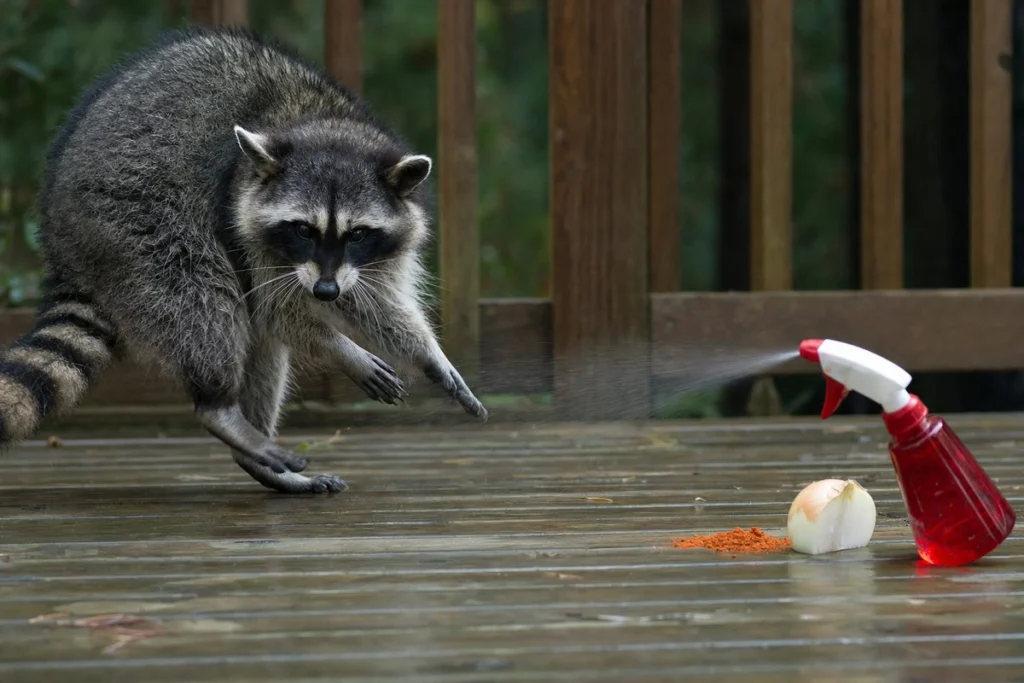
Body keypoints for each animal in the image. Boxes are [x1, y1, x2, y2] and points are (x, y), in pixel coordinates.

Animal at [0, 27, 487, 494]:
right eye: (303, 229)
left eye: (358, 233)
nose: (324, 290)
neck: (325, 125)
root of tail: (64, 245)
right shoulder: (240, 215)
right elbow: (276, 308)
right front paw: (342, 348)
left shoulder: (369, 257)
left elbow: (373, 302)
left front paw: (427, 352)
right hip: (134, 225)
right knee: (205, 302)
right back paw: (220, 409)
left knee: (262, 344)